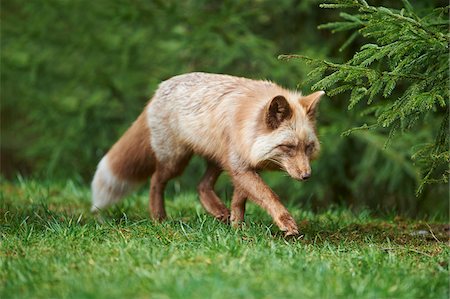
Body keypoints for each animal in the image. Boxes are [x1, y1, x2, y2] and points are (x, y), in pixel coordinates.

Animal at [91, 72, 324, 237]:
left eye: (307, 147)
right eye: (289, 147)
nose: (307, 176)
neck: (246, 124)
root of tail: (159, 89)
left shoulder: (244, 166)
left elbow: (239, 201)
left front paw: (237, 228)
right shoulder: (240, 166)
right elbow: (269, 196)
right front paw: (286, 223)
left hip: (217, 160)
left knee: (201, 186)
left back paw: (218, 211)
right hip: (176, 162)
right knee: (156, 180)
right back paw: (159, 218)